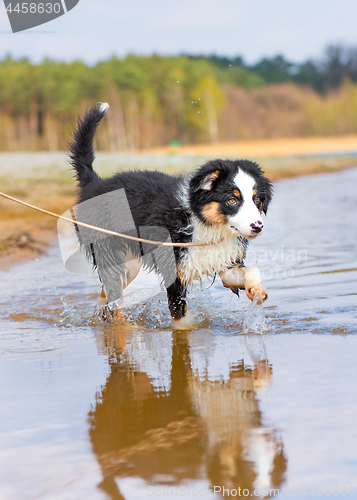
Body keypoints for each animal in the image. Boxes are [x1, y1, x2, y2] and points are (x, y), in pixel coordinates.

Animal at [67, 103, 272, 326]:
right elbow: (180, 317)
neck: (202, 223)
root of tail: (94, 183)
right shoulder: (174, 270)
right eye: (232, 201)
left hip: (129, 263)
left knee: (106, 296)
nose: (257, 226)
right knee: (112, 294)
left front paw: (256, 290)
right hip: (109, 251)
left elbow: (248, 272)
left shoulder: (226, 260)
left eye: (256, 199)